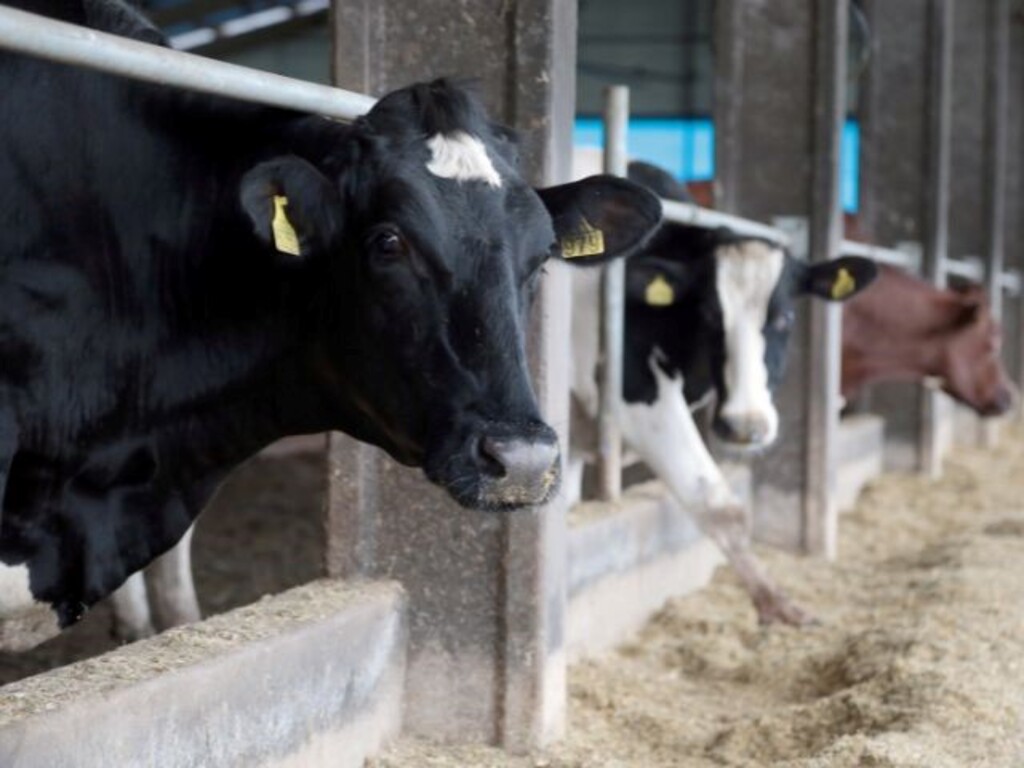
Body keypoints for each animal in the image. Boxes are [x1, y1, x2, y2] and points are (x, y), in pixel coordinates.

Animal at [569, 156, 872, 626]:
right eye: (711, 314)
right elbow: (719, 503)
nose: (745, 427)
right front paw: (774, 602)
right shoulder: (633, 394)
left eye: (784, 317)